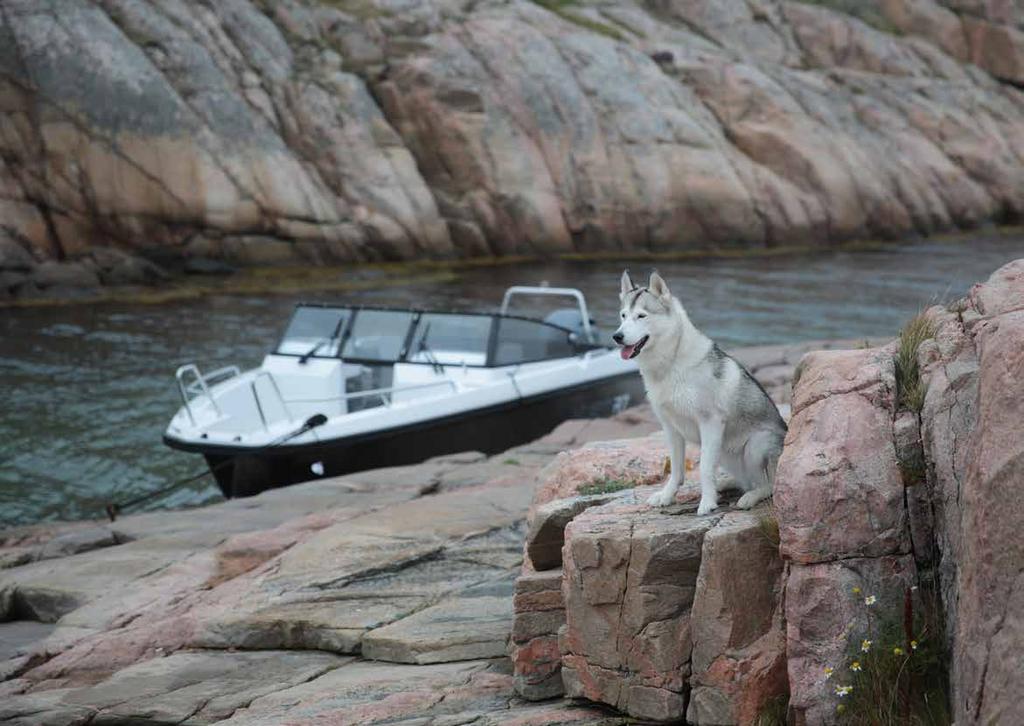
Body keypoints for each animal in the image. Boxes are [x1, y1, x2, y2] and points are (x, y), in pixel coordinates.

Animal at [610, 268, 786, 511]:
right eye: (623, 315)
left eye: (641, 316)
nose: (617, 336)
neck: (670, 364)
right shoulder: (670, 428)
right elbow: (676, 470)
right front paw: (667, 496)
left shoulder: (710, 422)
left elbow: (703, 470)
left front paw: (707, 503)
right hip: (725, 452)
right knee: (744, 480)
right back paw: (726, 484)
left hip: (755, 446)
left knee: (767, 486)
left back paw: (749, 497)